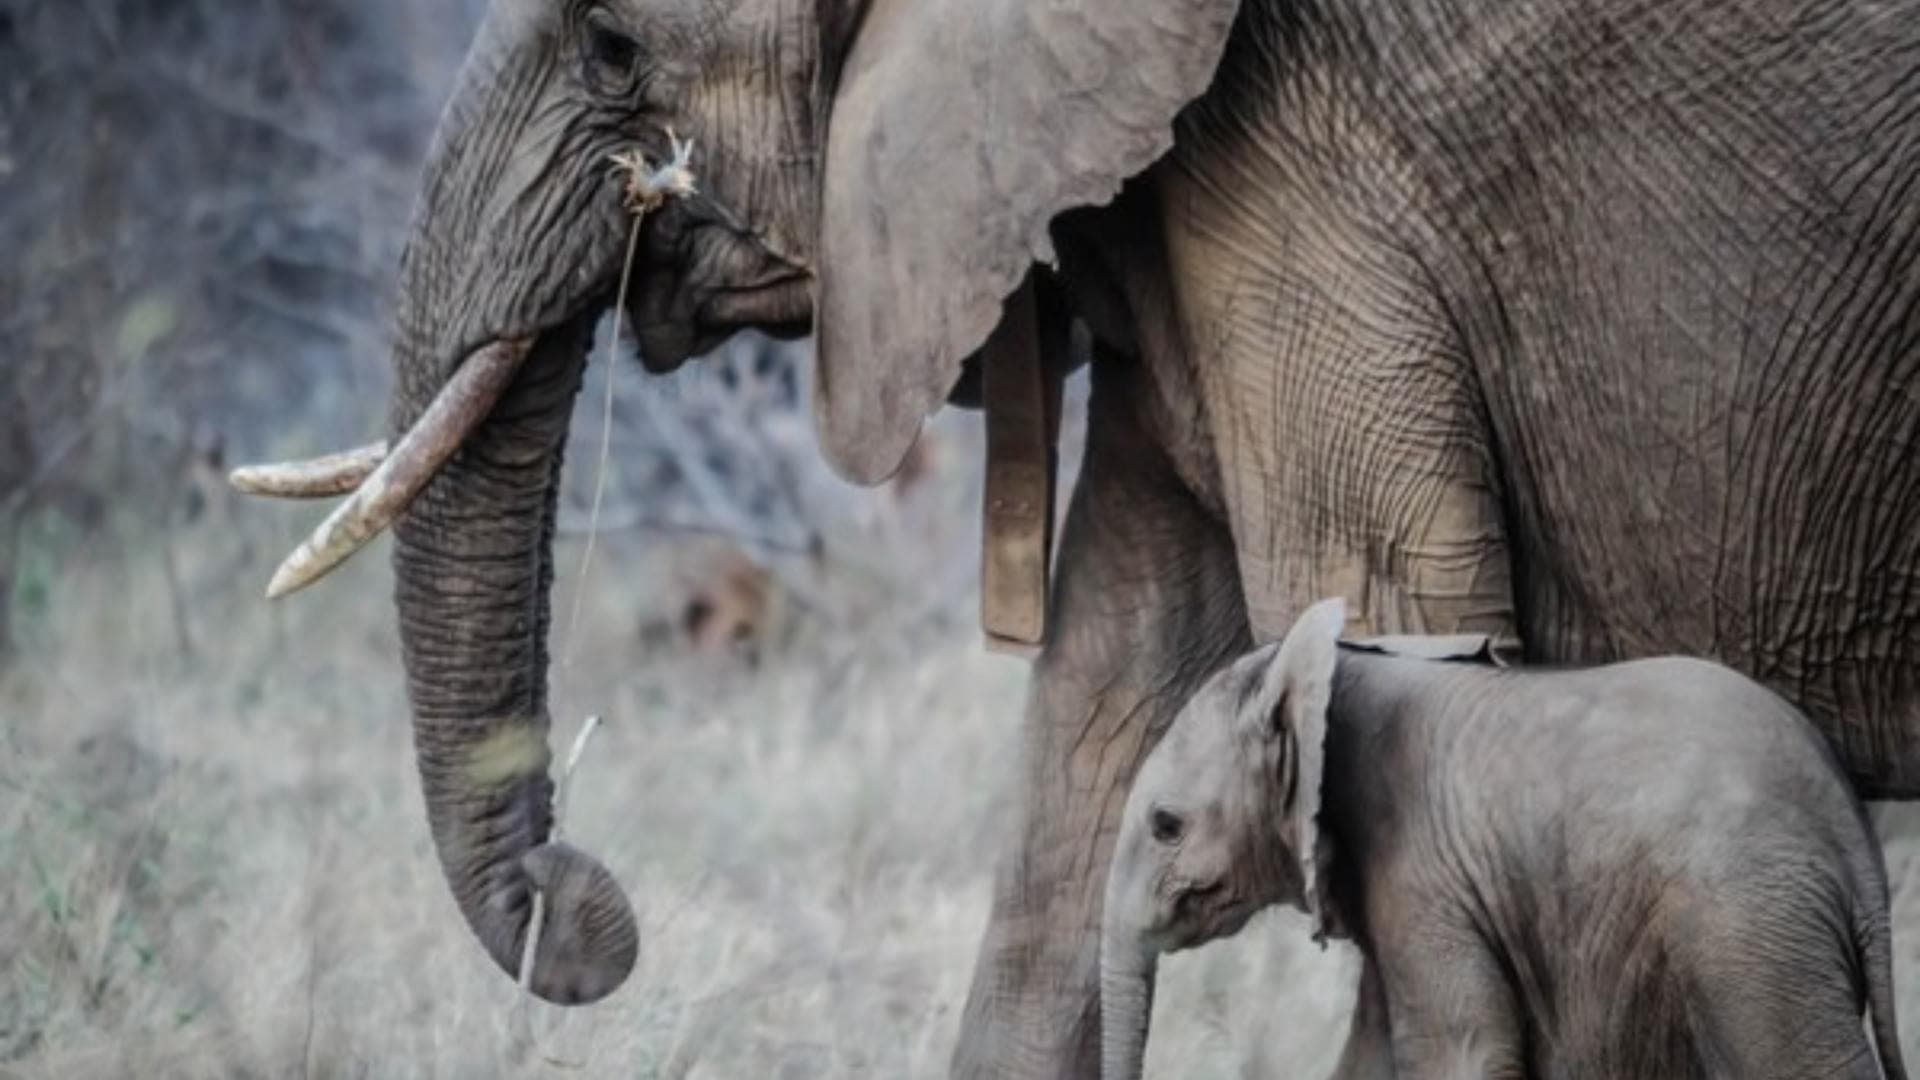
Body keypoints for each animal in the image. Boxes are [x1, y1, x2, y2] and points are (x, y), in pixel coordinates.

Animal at [1101, 599, 1909, 1080]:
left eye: (1166, 825)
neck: (1319, 667)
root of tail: (1853, 838)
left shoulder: (1423, 871)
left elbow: (1461, 1048)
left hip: (1748, 926)